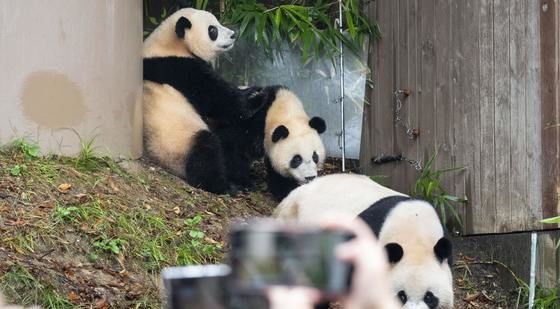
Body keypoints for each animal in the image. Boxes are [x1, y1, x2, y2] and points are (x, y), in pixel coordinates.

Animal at [143, 7, 268, 192]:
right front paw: (256, 96)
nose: (233, 35)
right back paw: (225, 185)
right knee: (207, 150)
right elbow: (219, 99)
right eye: (212, 30)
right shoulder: (179, 68)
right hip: (177, 142)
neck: (171, 45)